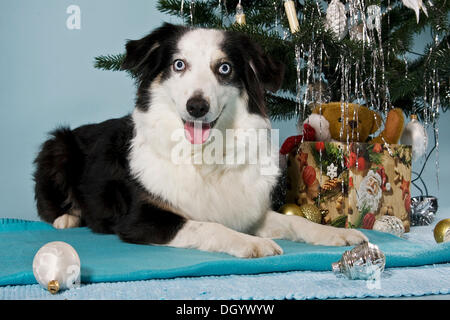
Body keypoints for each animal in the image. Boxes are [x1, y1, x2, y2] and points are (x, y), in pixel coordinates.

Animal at [33, 23, 368, 258]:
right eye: (179, 64)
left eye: (224, 68)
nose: (197, 106)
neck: (205, 155)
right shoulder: (141, 218)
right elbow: (208, 225)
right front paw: (251, 243)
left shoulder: (247, 211)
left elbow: (295, 222)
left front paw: (337, 234)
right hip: (56, 145)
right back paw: (67, 218)